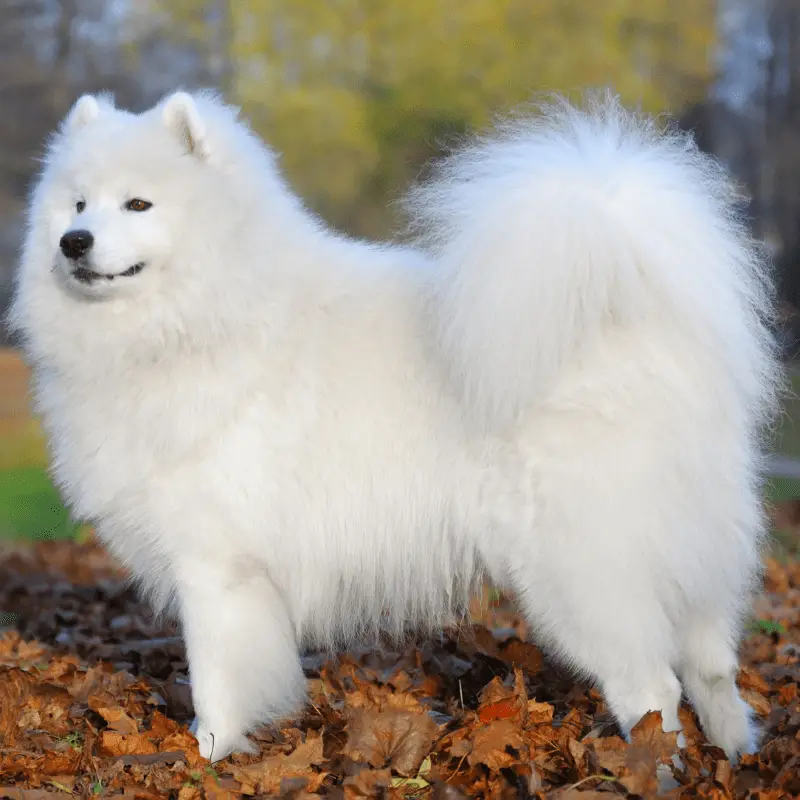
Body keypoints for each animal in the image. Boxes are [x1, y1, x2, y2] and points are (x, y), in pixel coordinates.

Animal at [6, 89, 780, 764]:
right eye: (77, 202)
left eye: (138, 203)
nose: (74, 241)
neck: (206, 317)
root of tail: (635, 324)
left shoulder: (216, 564)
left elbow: (215, 676)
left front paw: (210, 754)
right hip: (689, 554)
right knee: (713, 670)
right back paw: (734, 757)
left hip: (582, 569)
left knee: (654, 687)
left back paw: (656, 767)